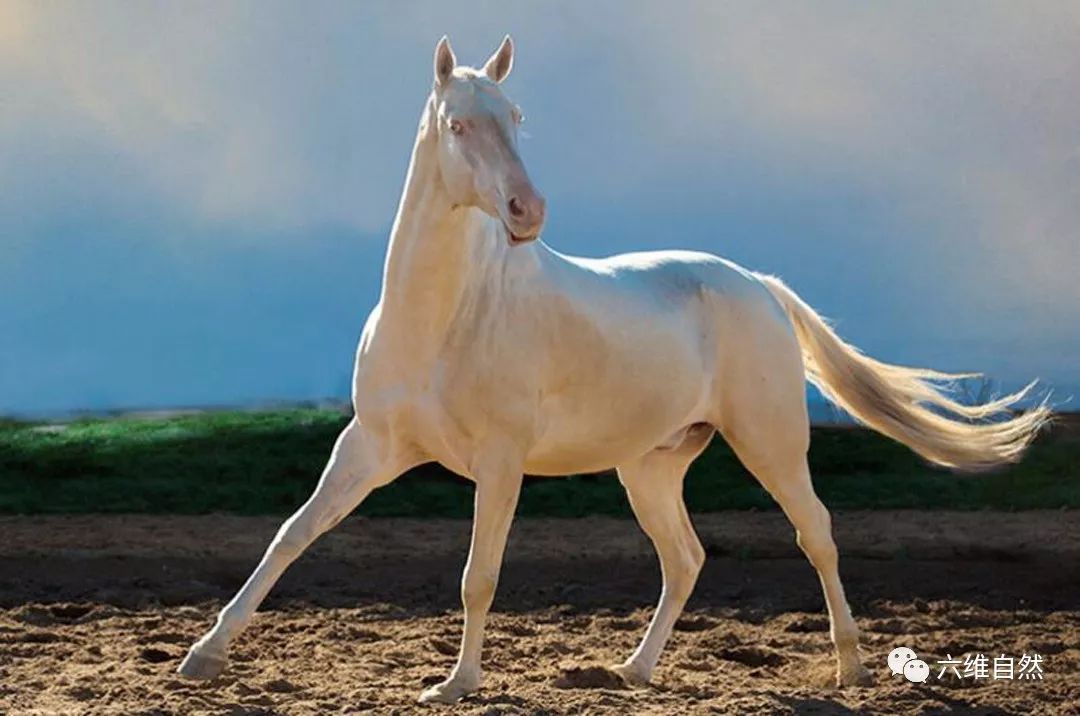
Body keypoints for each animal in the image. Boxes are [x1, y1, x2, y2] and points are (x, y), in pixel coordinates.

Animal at [178, 36, 1048, 703]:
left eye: (517, 118)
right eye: (458, 123)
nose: (528, 212)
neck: (444, 319)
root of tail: (755, 284)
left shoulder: (500, 462)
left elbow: (478, 574)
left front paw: (455, 684)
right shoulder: (370, 446)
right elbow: (291, 536)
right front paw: (203, 657)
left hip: (769, 443)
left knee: (817, 535)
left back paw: (850, 666)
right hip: (650, 467)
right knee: (686, 559)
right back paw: (632, 670)